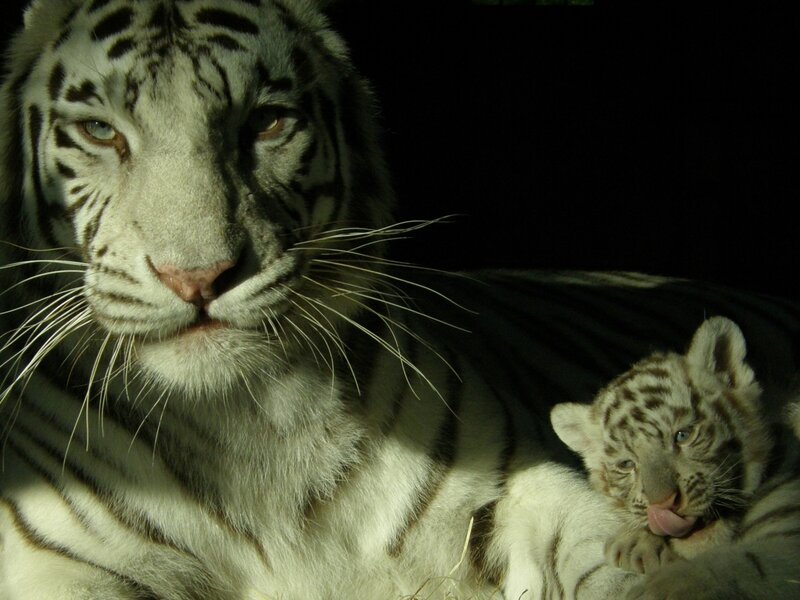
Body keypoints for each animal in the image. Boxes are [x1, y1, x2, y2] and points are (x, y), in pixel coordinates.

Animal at [1, 1, 800, 599]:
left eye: (266, 123)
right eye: (99, 131)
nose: (197, 277)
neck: (248, 424)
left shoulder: (528, 491)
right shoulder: (58, 567)